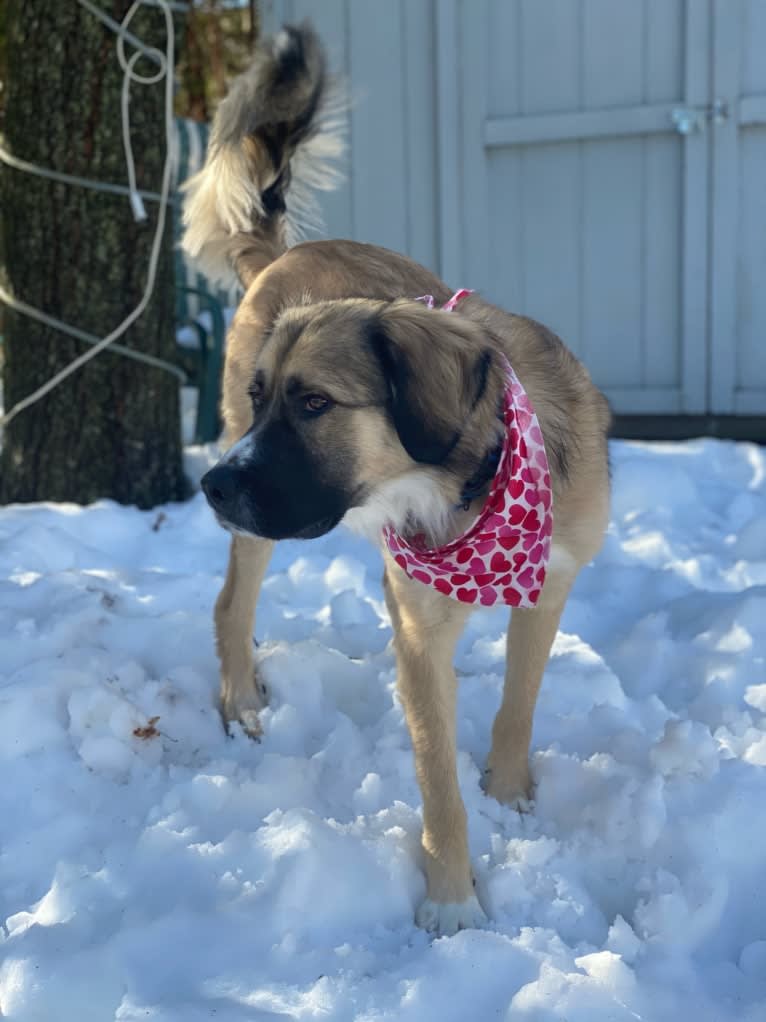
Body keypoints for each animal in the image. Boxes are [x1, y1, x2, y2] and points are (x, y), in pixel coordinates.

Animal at [181, 21, 612, 936]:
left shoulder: (551, 584)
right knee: (231, 605)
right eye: (264, 400)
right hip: (259, 528)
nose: (212, 490)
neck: (472, 483)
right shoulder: (416, 629)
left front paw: (509, 794)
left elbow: (518, 704)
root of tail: (285, 255)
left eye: (313, 403)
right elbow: (435, 778)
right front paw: (453, 902)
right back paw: (242, 703)